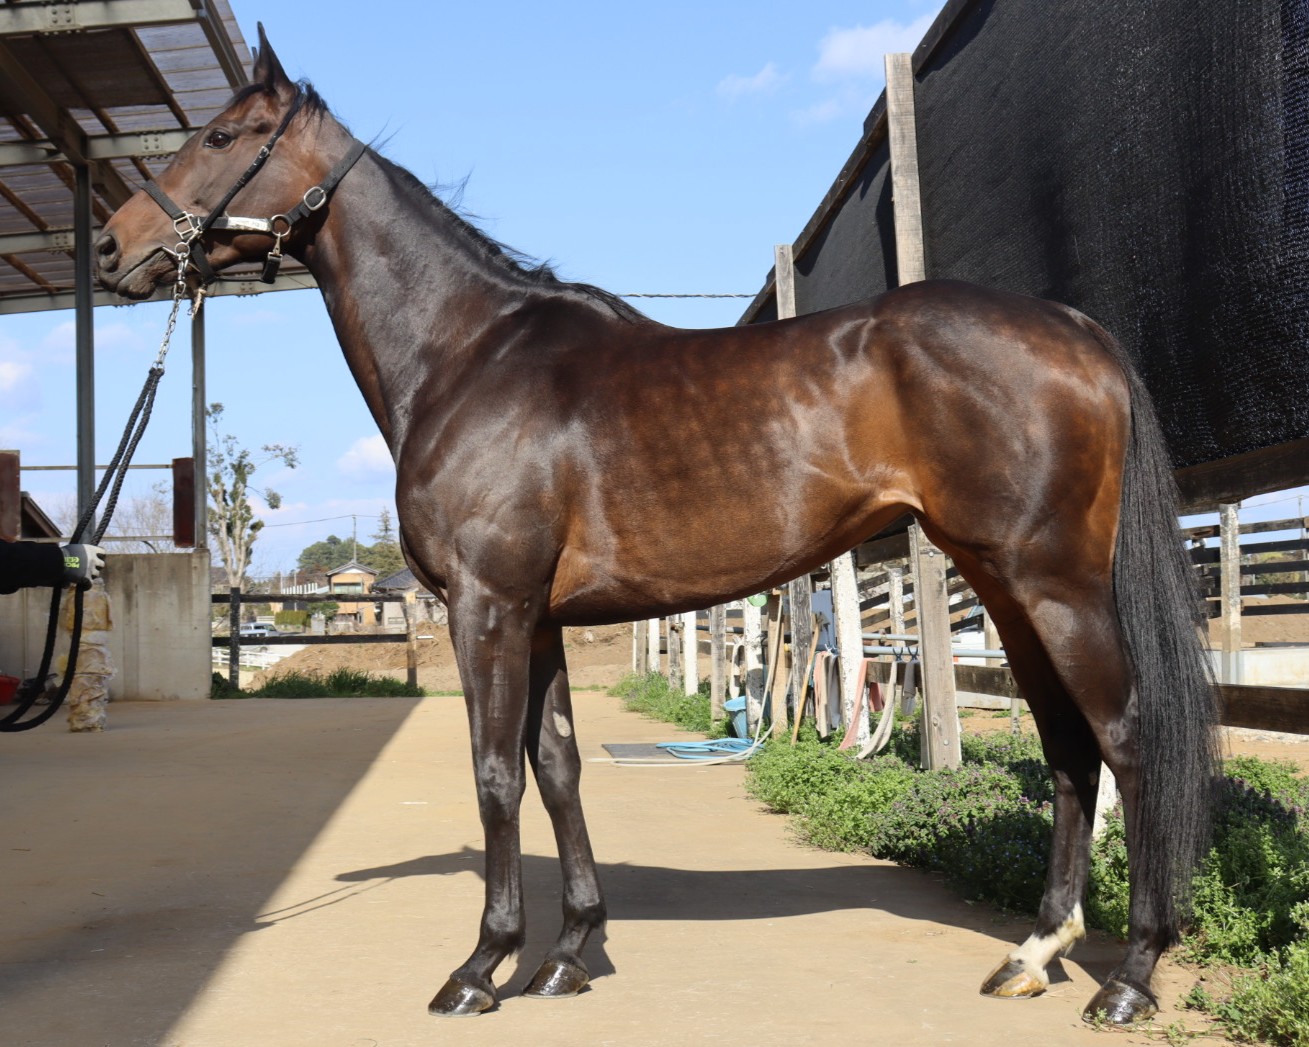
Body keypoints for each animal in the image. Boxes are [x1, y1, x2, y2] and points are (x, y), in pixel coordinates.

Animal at [94, 27, 1218, 1025]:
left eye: (226, 135)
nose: (112, 245)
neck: (469, 355)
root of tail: (1073, 328)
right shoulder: (538, 618)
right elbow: (556, 770)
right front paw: (568, 955)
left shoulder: (486, 607)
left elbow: (494, 774)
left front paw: (482, 966)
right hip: (1004, 586)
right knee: (1068, 747)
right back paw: (1033, 953)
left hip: (1053, 585)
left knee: (1126, 738)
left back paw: (1128, 977)